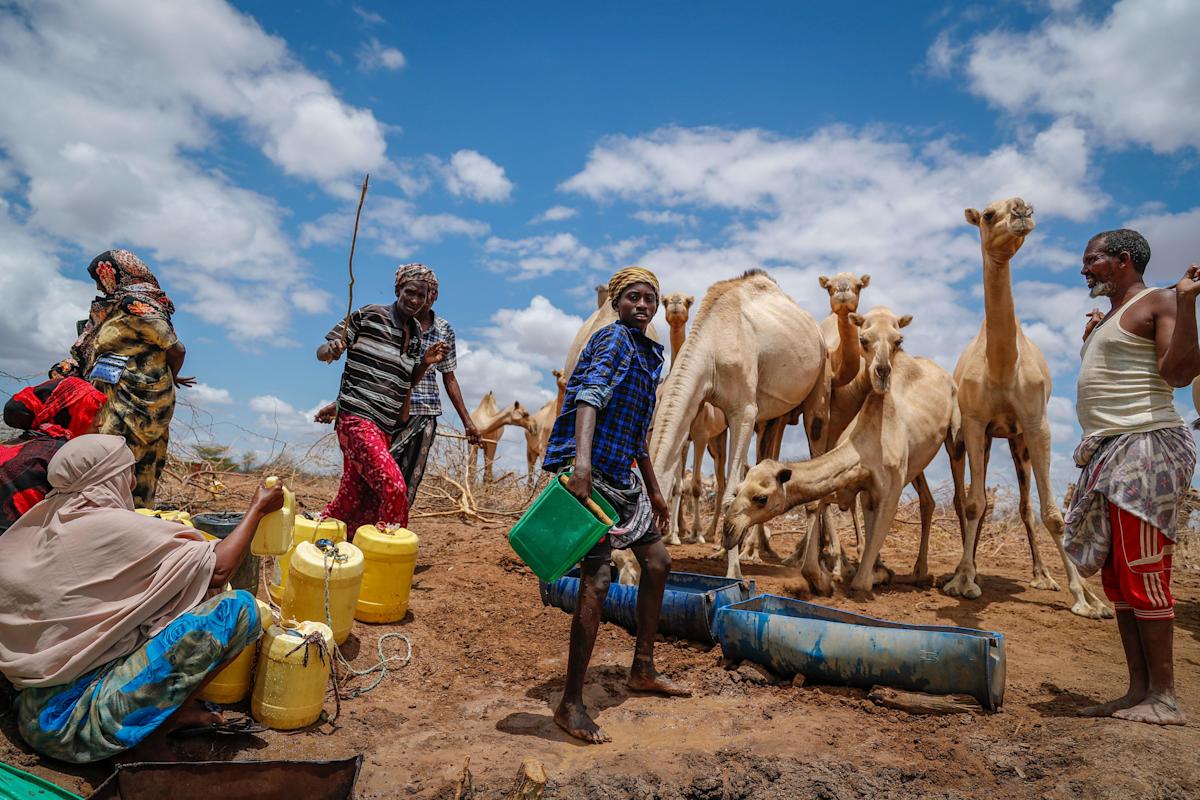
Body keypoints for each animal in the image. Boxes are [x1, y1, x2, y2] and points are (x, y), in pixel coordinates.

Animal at [652, 272, 830, 578]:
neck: (711, 345)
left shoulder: (744, 410)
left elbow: (729, 494)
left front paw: (734, 573)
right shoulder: (700, 407)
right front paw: (727, 552)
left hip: (817, 391)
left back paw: (808, 562)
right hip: (775, 417)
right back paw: (752, 550)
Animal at [720, 307, 964, 594]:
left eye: (761, 498)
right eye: (738, 490)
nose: (728, 530)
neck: (864, 448)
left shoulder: (890, 492)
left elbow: (861, 581)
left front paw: (867, 574)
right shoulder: (859, 488)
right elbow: (820, 505)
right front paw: (825, 577)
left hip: (954, 435)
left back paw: (939, 576)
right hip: (916, 464)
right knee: (927, 499)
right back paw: (918, 571)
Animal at [940, 196, 1108, 623]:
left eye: (1027, 206)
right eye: (987, 215)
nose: (1020, 210)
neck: (1001, 366)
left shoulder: (1036, 423)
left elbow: (1052, 514)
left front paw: (1085, 598)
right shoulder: (974, 422)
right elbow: (975, 503)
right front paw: (962, 581)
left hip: (1018, 443)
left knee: (1025, 506)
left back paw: (1046, 577)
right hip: (982, 439)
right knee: (974, 501)